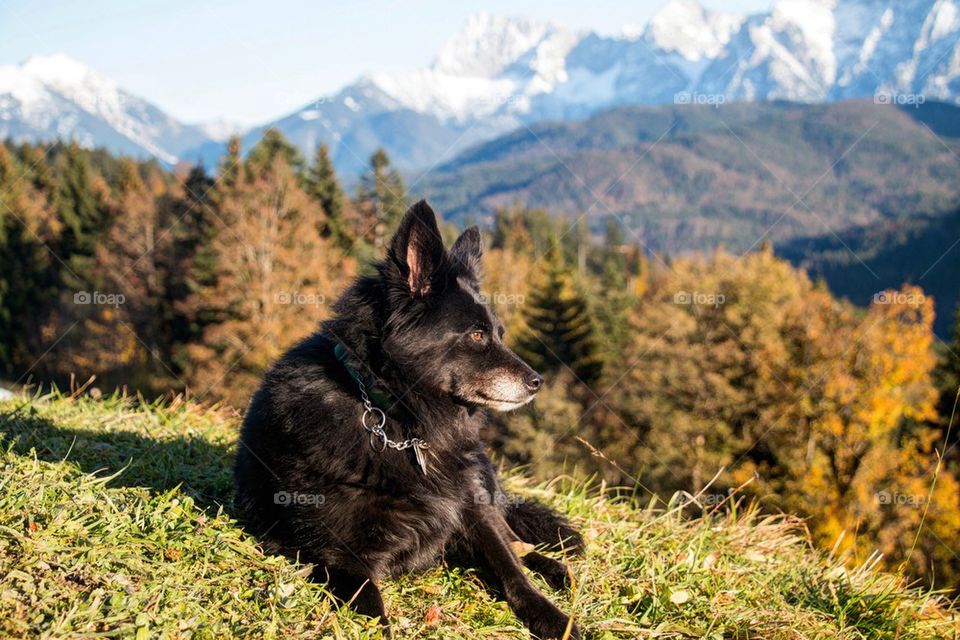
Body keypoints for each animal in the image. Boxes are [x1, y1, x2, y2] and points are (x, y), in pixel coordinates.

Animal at [236, 201, 580, 640]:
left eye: (499, 333)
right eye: (477, 336)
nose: (537, 382)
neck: (395, 421)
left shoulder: (471, 512)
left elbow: (512, 570)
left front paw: (555, 619)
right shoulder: (343, 559)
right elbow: (373, 617)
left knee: (519, 542)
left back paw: (557, 570)